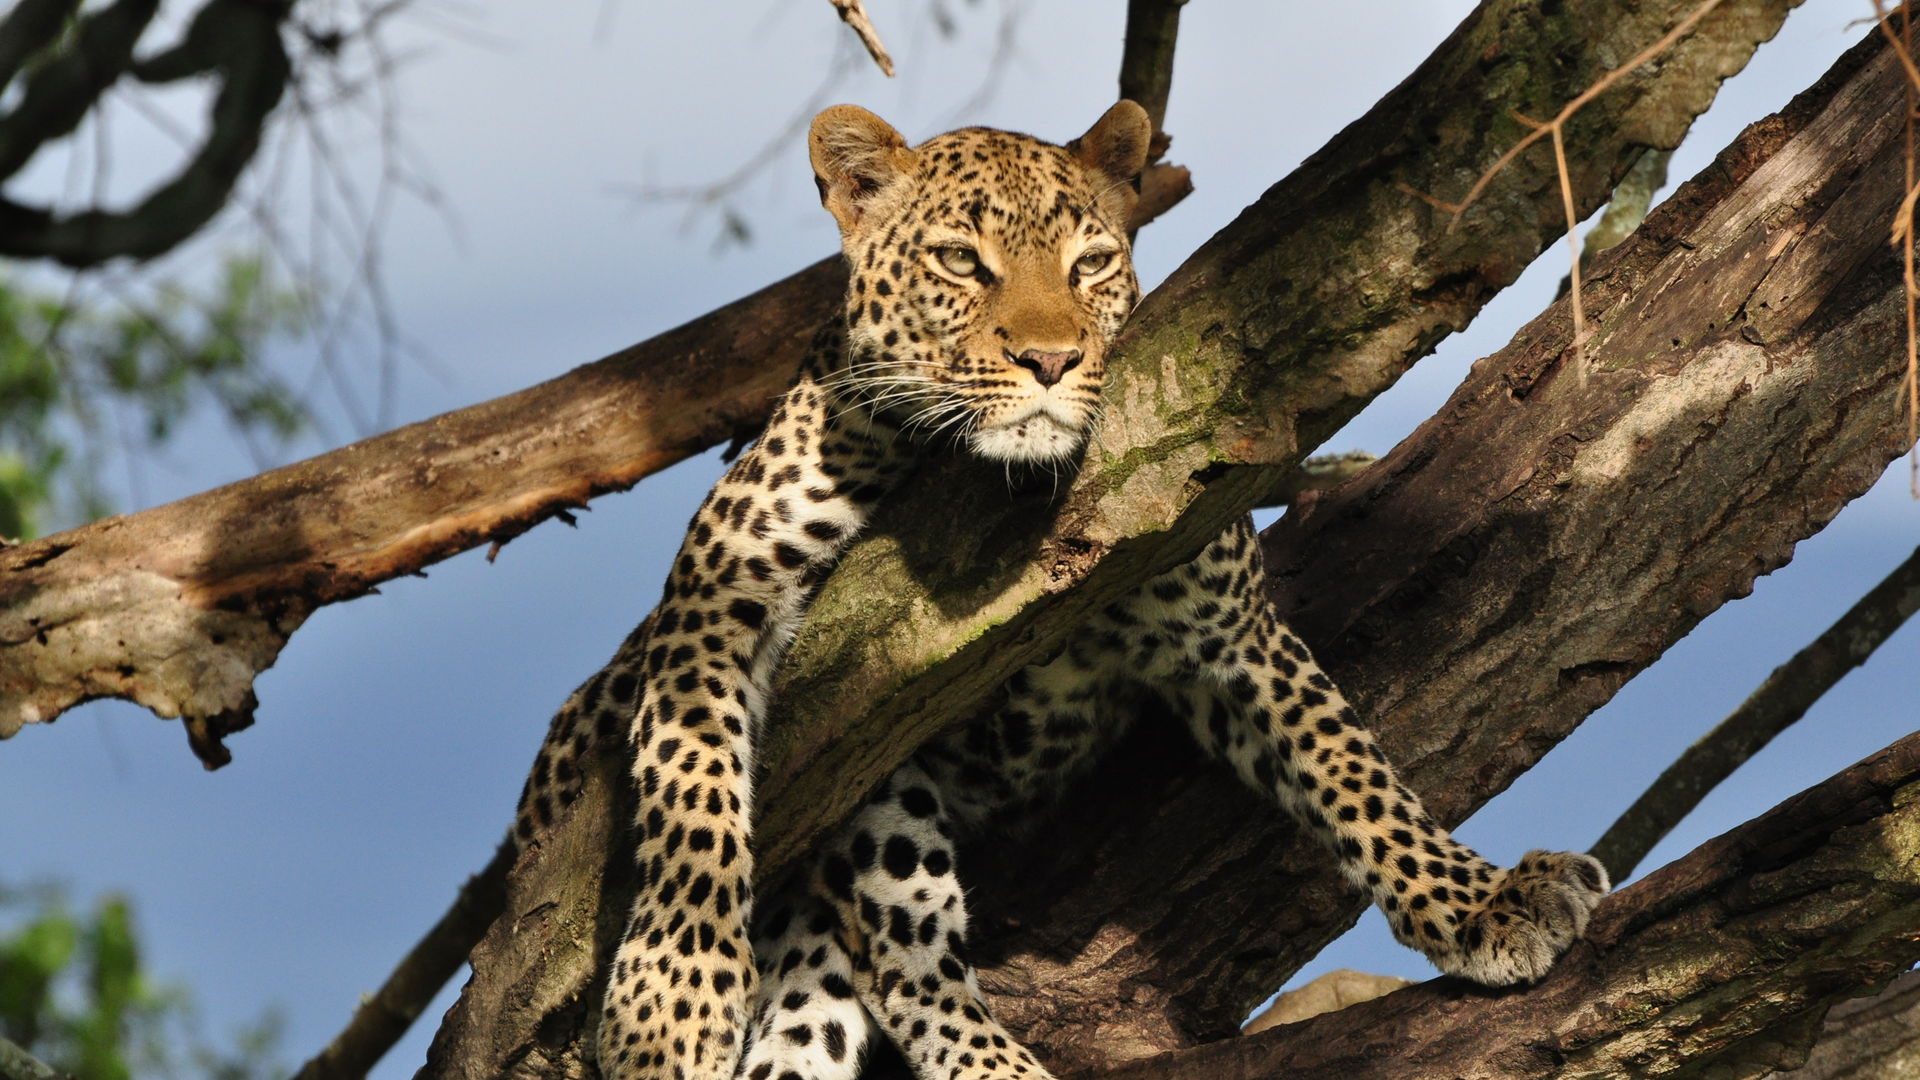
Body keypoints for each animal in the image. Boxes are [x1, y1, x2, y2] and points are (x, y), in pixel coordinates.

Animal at [518, 100, 1612, 1076]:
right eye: (961, 262)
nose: (1051, 359)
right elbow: (690, 781)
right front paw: (674, 1001)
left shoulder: (1229, 627)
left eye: (1091, 264)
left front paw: (1476, 902)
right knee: (909, 960)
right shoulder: (719, 588)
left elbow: (1352, 766)